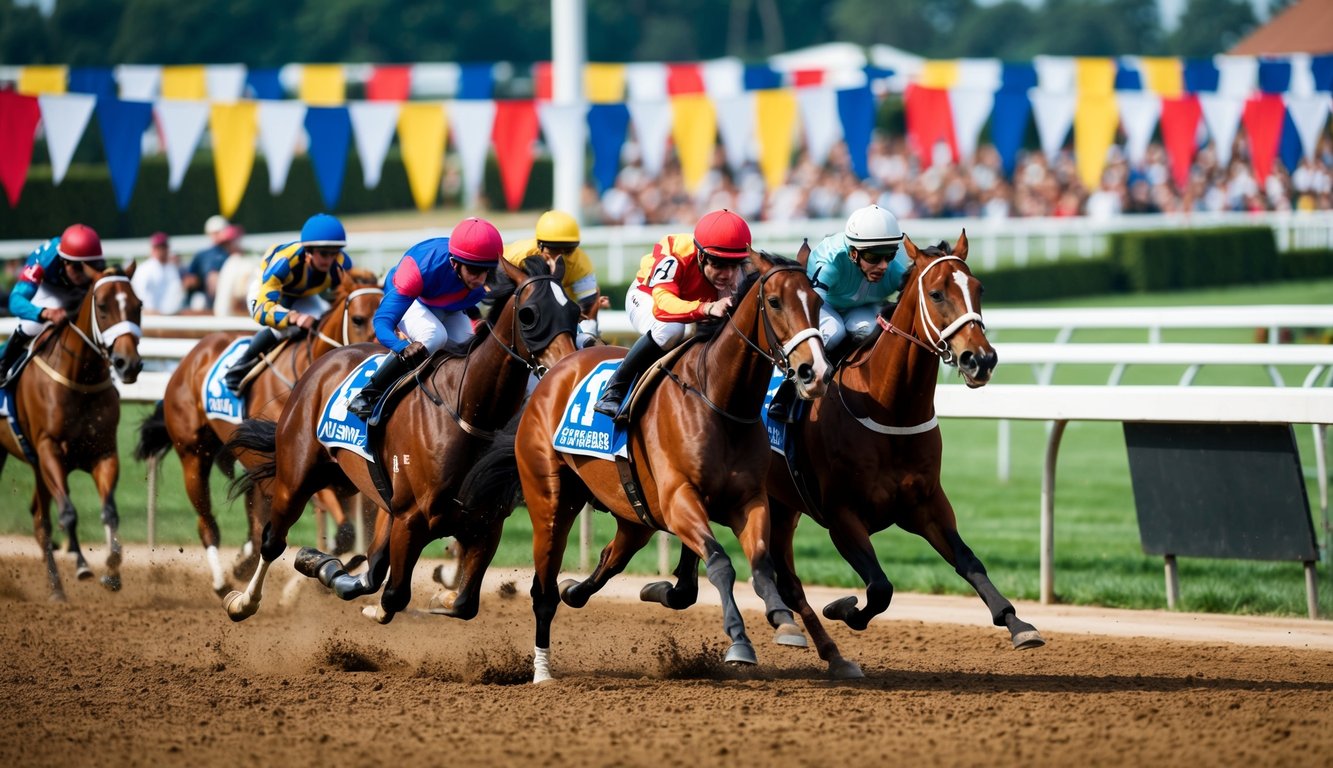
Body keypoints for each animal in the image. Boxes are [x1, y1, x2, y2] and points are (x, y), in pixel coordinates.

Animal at [0, 264, 143, 600]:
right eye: (102, 306)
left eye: (138, 306)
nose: (128, 364)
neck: (80, 380)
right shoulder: (50, 450)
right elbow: (68, 513)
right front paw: (81, 564)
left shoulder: (103, 453)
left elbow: (110, 512)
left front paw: (113, 569)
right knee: (45, 522)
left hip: (37, 468)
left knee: (39, 521)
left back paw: (56, 589)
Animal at [132, 266, 383, 597]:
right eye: (358, 319)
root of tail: (192, 355)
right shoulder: (296, 465)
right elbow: (342, 531)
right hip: (193, 454)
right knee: (207, 522)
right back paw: (222, 581)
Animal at [223, 256, 583, 624]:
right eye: (528, 314)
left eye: (576, 312)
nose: (567, 368)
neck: (469, 410)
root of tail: (326, 360)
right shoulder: (411, 520)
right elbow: (394, 596)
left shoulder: (486, 522)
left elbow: (462, 604)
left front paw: (437, 593)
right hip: (297, 475)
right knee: (273, 540)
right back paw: (244, 601)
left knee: (371, 568)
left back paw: (320, 564)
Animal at [463, 249, 826, 680]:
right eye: (774, 302)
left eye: (817, 302)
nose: (815, 372)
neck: (718, 399)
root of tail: (554, 372)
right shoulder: (679, 499)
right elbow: (721, 563)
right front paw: (739, 639)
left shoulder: (749, 500)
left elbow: (761, 562)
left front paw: (784, 621)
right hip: (550, 499)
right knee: (543, 588)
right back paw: (542, 670)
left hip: (634, 512)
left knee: (608, 559)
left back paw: (581, 590)